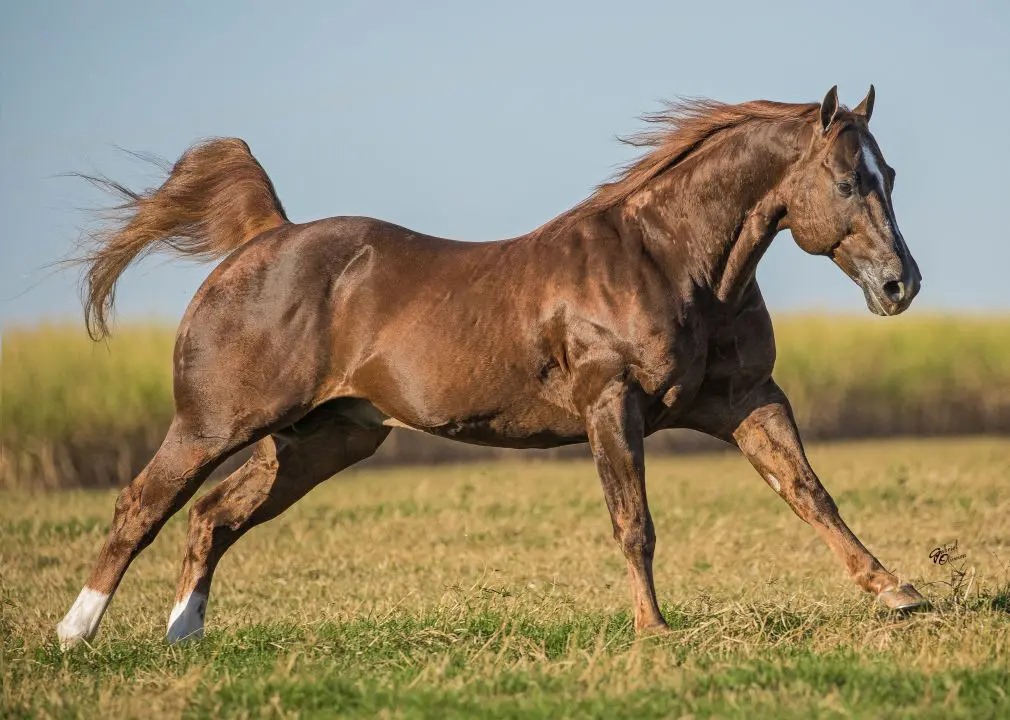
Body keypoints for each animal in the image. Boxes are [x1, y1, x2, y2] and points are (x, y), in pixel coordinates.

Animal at [55, 84, 925, 646]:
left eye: (890, 176)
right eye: (848, 181)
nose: (900, 284)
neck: (671, 263)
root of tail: (264, 239)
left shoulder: (746, 399)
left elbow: (811, 495)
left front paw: (899, 593)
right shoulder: (611, 404)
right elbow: (634, 522)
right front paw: (653, 629)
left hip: (324, 439)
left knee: (213, 516)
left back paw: (185, 638)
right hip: (214, 425)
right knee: (143, 505)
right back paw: (76, 634)